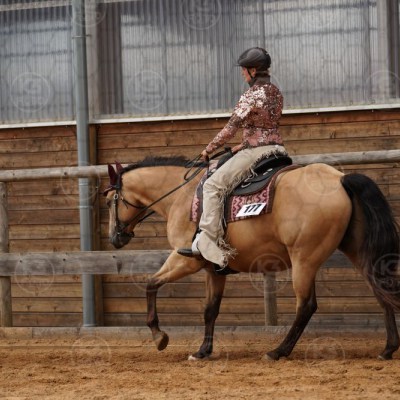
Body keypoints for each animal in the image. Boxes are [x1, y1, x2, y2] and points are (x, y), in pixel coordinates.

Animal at [104, 155, 400, 361]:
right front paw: (203, 351)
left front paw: (159, 336)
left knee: (306, 306)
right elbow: (210, 310)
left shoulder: (185, 260)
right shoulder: (213, 270)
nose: (115, 238)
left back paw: (278, 351)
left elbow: (151, 284)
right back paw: (388, 349)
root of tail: (338, 178)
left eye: (108, 201)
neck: (181, 196)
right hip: (358, 253)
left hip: (304, 260)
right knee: (381, 292)